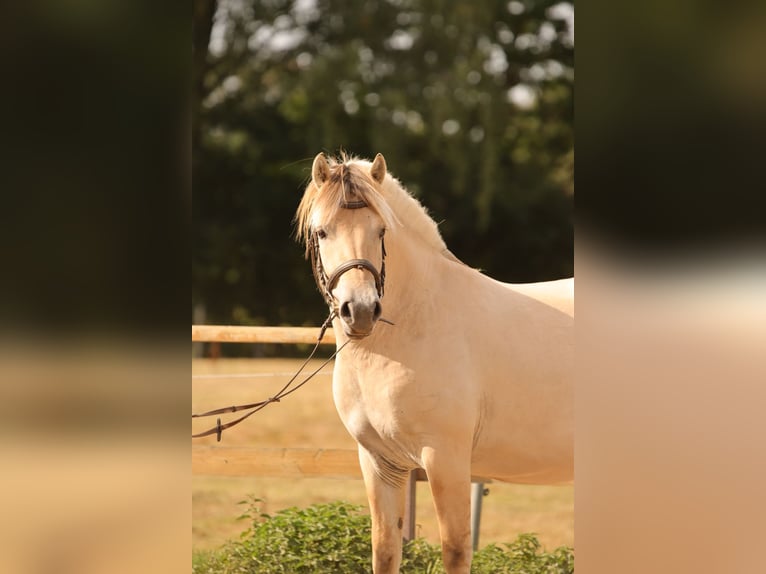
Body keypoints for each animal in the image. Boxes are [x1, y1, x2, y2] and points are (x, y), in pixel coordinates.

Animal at [295, 152, 573, 574]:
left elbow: (455, 549)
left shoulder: (445, 459)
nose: (360, 311)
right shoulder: (380, 462)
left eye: (381, 230)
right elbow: (385, 549)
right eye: (322, 232)